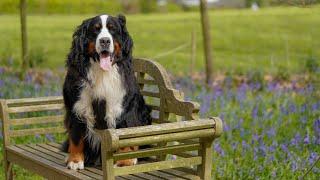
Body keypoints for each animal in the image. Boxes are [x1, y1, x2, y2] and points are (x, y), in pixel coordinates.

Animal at [62, 14, 152, 170]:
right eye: (95, 29)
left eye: (112, 29)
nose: (105, 40)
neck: (102, 72)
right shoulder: (77, 106)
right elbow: (76, 136)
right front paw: (75, 160)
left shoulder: (124, 107)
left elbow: (125, 130)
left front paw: (125, 160)